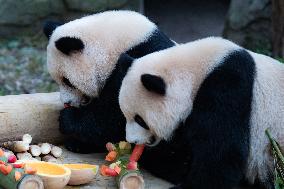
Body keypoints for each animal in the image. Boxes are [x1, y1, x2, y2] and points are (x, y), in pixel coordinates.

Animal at [43, 9, 175, 152]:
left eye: (67, 81)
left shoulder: (136, 64)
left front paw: (67, 119)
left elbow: (113, 116)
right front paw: (77, 143)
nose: (67, 102)